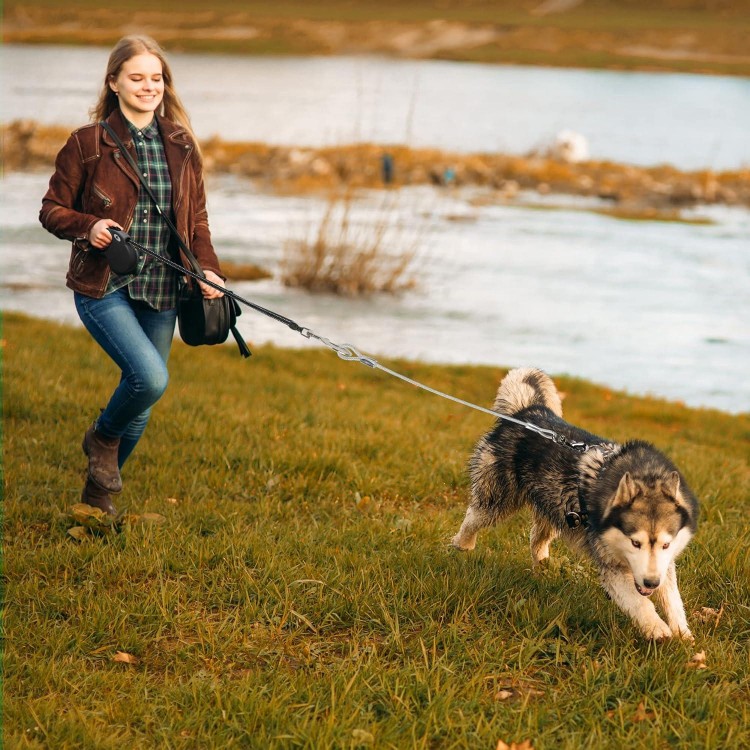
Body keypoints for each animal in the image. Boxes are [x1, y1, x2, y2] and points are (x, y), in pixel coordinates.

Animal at [456, 368, 704, 640]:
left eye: (665, 544)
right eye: (635, 543)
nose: (650, 583)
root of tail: (528, 411)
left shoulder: (664, 567)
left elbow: (672, 599)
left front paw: (683, 635)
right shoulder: (611, 569)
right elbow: (639, 602)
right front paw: (657, 628)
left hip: (557, 511)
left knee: (537, 539)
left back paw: (543, 566)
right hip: (498, 498)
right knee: (475, 516)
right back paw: (462, 543)